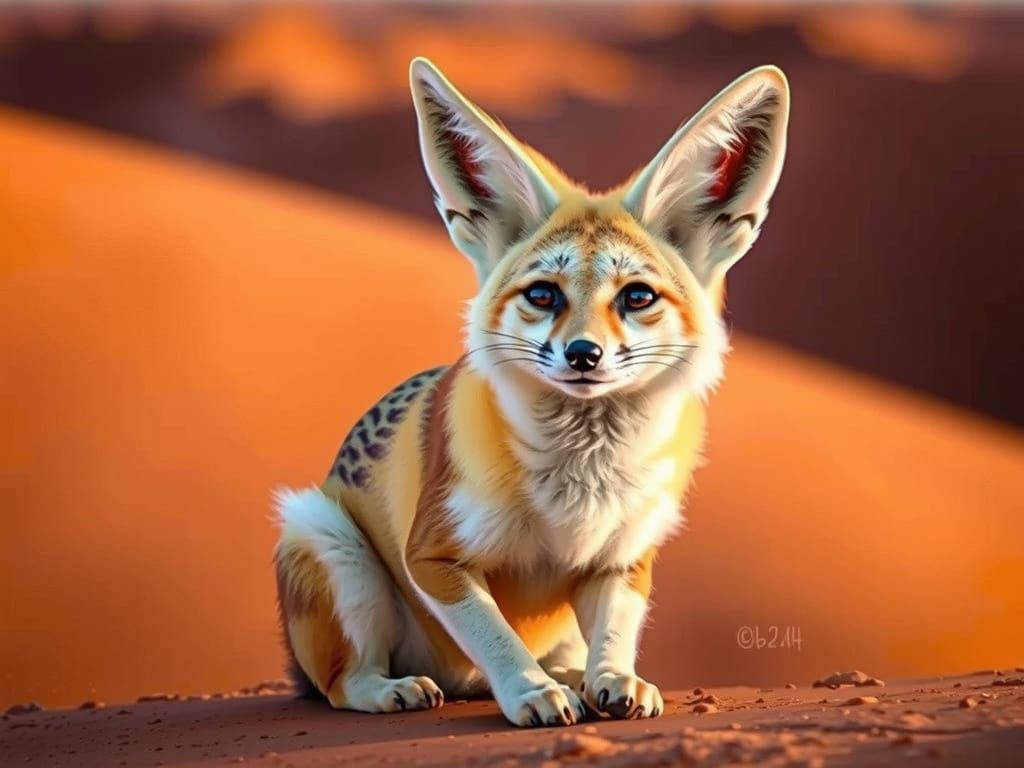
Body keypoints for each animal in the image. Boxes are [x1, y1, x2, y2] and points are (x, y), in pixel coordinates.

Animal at [273, 57, 789, 727]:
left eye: (637, 297)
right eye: (544, 295)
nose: (583, 354)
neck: (581, 482)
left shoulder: (622, 560)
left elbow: (615, 635)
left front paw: (613, 679)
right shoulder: (434, 558)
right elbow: (497, 637)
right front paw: (530, 692)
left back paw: (574, 675)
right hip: (329, 541)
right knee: (343, 683)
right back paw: (393, 689)